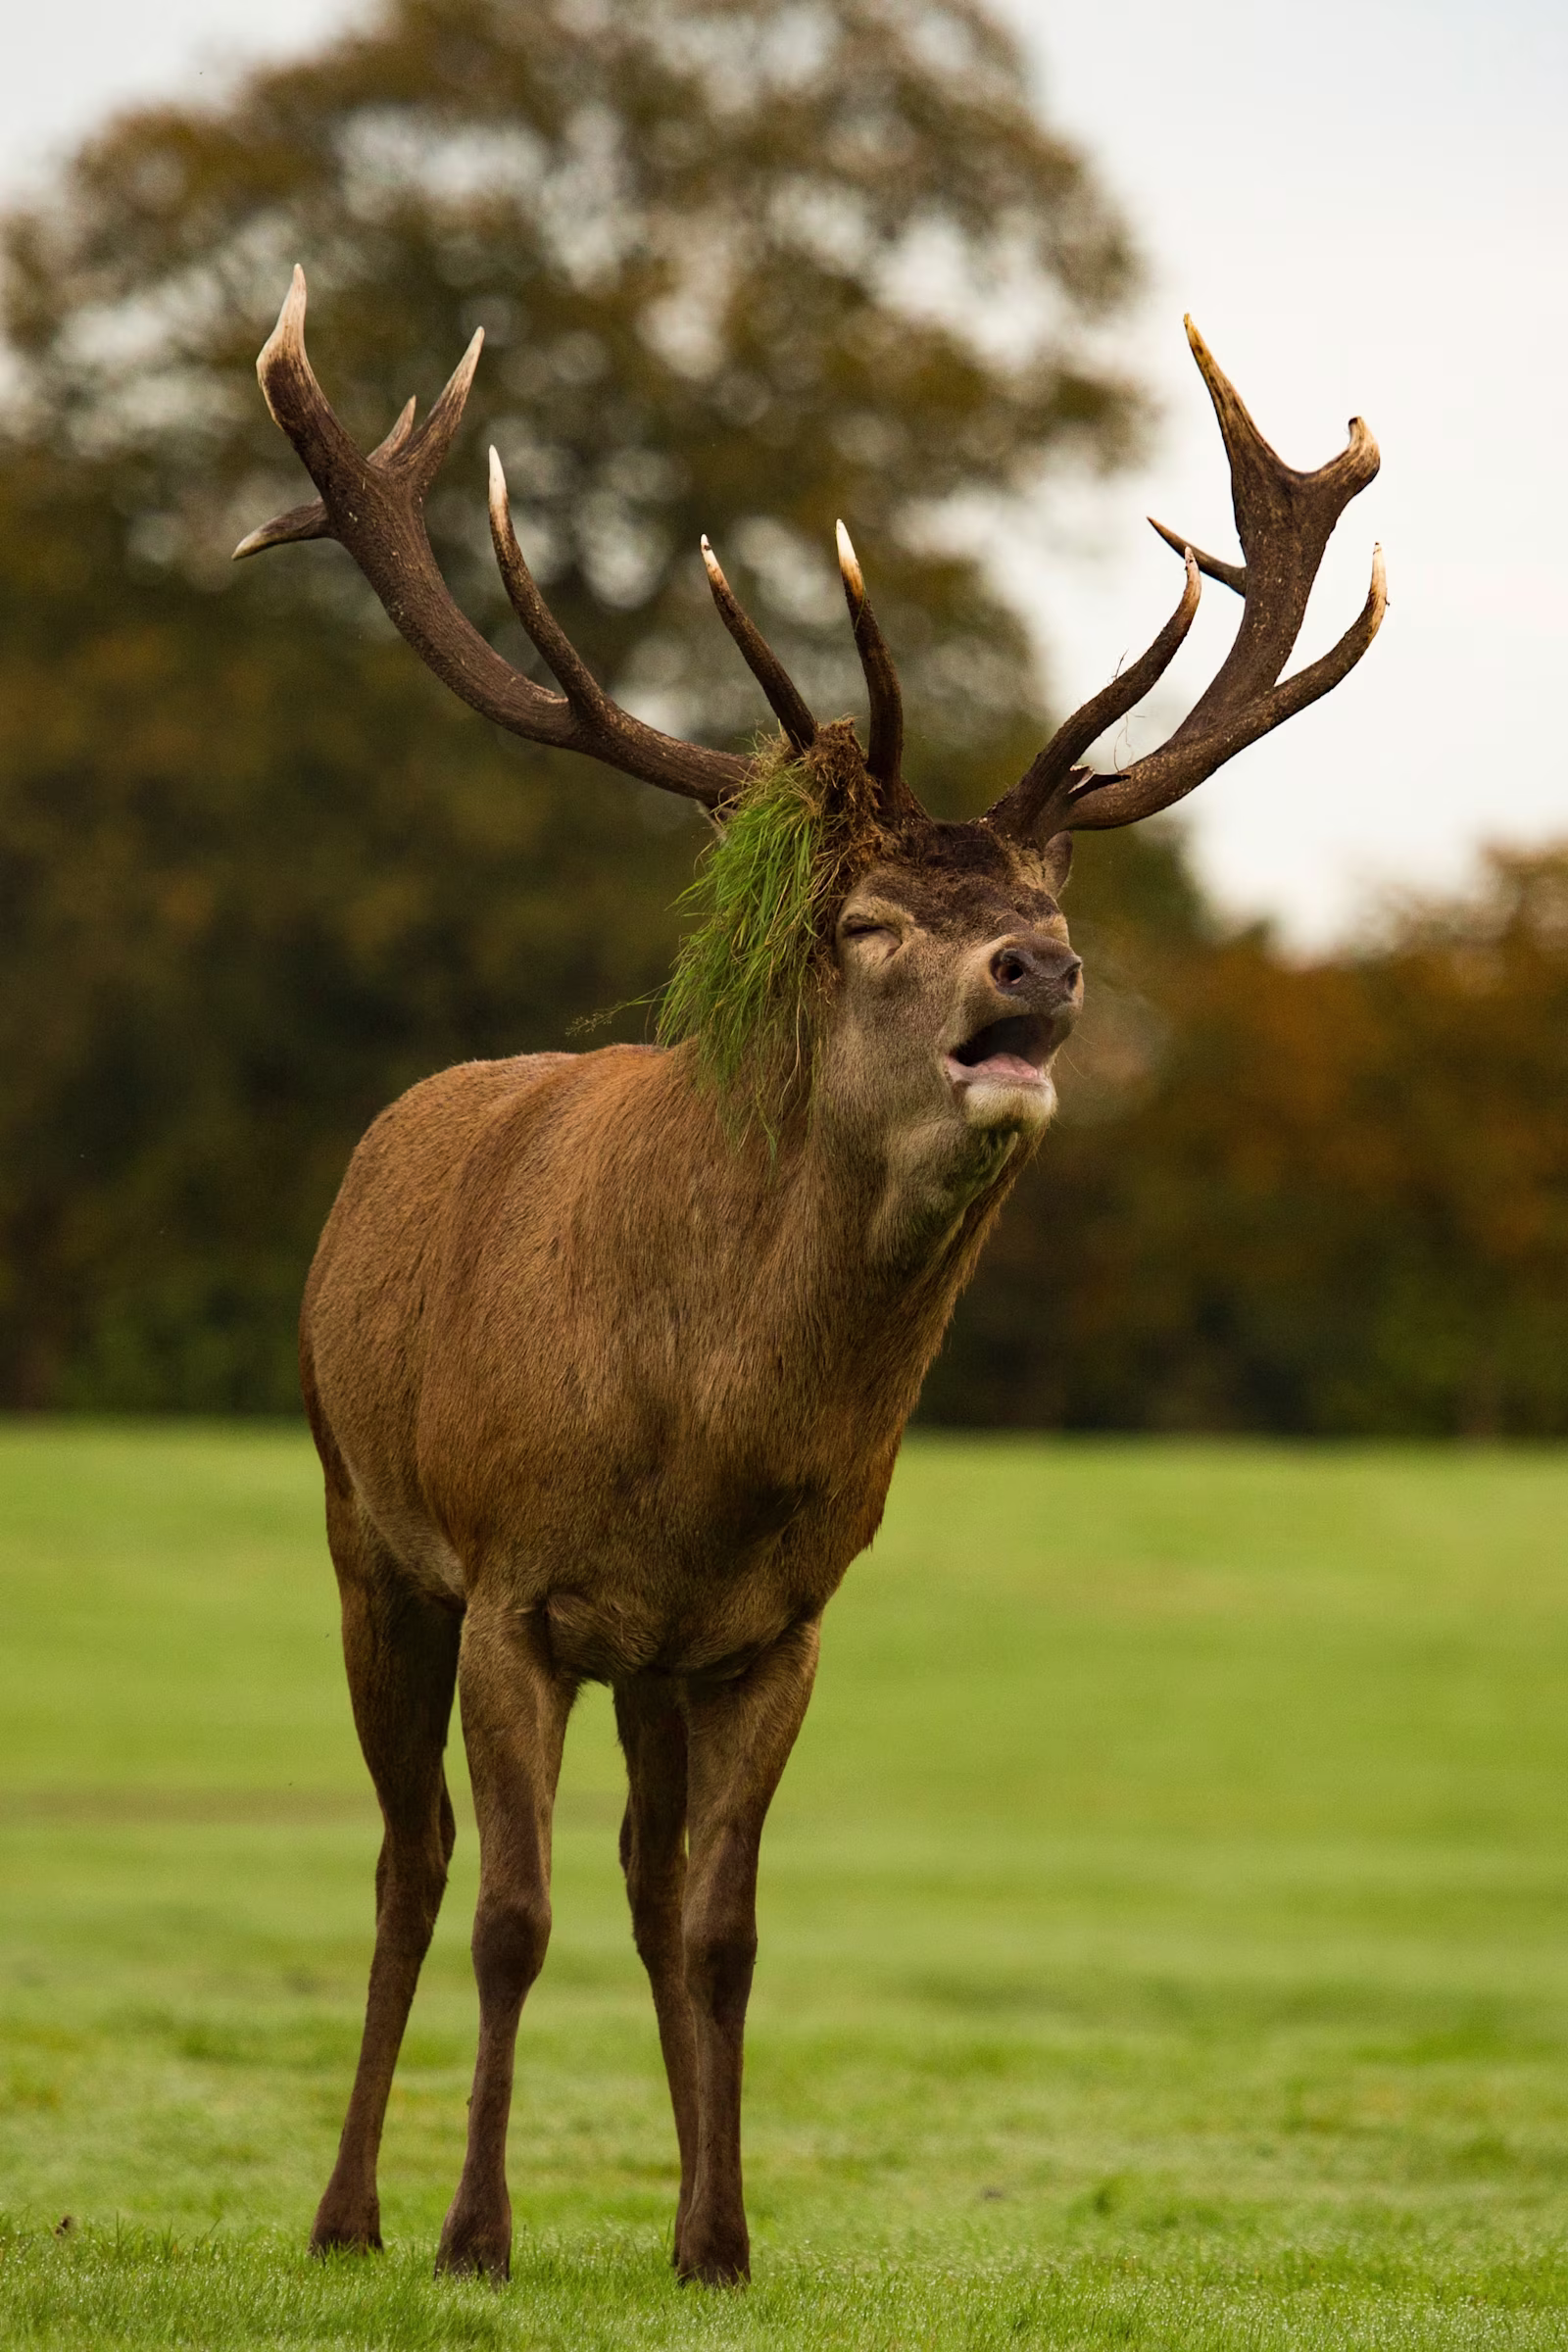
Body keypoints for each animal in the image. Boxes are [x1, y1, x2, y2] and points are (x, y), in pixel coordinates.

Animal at [234, 267, 1384, 2285]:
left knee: (633, 1880)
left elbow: (722, 1930)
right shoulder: (515, 1586)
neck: (711, 1438)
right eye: (864, 922)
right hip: (364, 1529)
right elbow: (509, 1916)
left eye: (1052, 910)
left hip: (641, 1660)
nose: (1037, 972)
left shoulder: (774, 1628)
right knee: (412, 1861)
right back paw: (351, 2212)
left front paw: (720, 2238)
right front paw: (476, 2235)